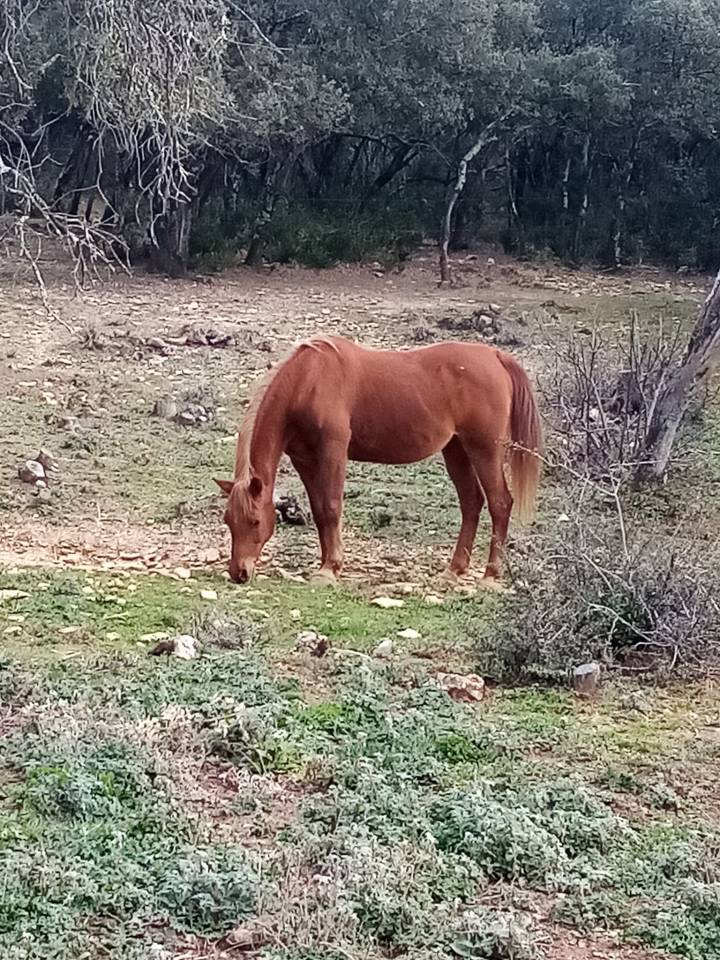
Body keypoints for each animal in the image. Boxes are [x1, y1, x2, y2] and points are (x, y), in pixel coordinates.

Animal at [215, 335, 541, 585]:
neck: (307, 380)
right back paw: (454, 569)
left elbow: (331, 506)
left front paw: (330, 568)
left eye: (255, 521)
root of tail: (495, 356)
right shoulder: (303, 459)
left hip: (484, 449)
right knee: (472, 502)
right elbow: (319, 511)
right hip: (457, 449)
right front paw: (325, 564)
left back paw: (491, 575)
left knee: (500, 503)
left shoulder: (333, 449)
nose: (239, 572)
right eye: (228, 521)